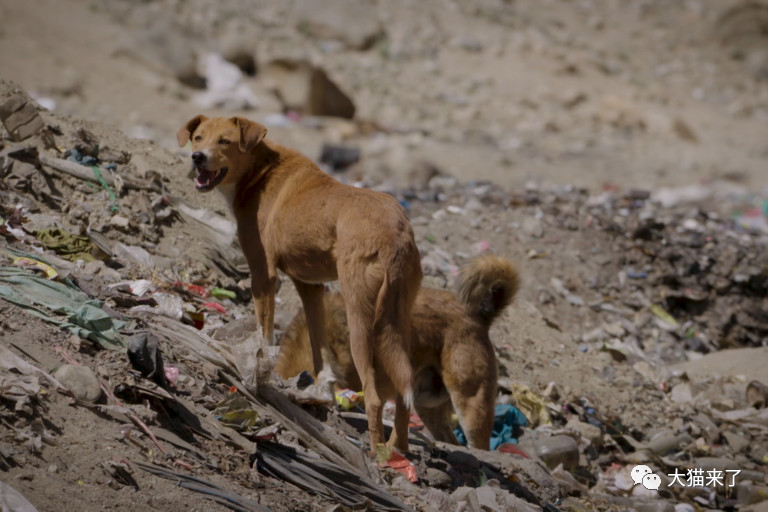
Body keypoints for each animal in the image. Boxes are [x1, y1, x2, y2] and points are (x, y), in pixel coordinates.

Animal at [177, 115, 424, 452]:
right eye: (198, 137)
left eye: (224, 141)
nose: (197, 157)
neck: (258, 170)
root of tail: (395, 231)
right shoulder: (311, 287)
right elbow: (319, 354)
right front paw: (319, 395)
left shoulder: (263, 273)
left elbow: (265, 333)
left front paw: (261, 372)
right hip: (396, 321)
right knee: (403, 395)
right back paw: (398, 449)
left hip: (362, 319)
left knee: (374, 397)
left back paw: (378, 454)